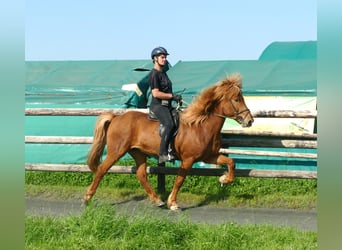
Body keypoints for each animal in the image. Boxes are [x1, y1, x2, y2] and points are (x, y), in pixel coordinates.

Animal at [83, 73, 254, 210]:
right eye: (236, 99)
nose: (250, 120)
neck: (200, 125)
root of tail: (116, 117)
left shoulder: (209, 156)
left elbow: (231, 162)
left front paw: (224, 179)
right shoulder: (188, 159)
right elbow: (179, 180)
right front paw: (173, 203)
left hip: (138, 152)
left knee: (141, 175)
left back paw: (158, 200)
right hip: (116, 151)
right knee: (102, 169)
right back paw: (87, 198)